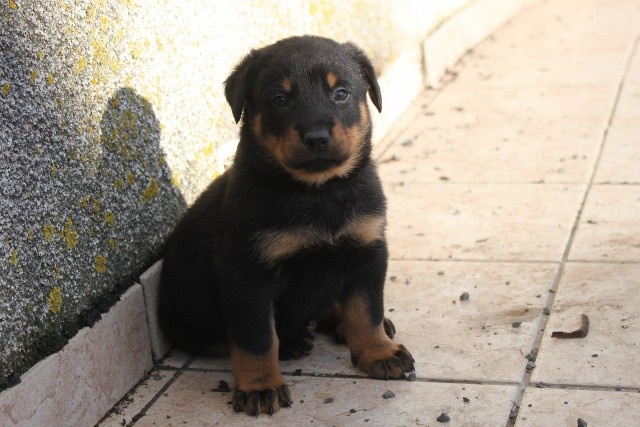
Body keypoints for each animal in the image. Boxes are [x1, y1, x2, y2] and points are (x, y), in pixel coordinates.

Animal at [158, 35, 414, 416]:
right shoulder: (246, 273)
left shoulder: (367, 249)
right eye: (280, 99)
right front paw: (260, 386)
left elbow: (366, 310)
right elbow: (257, 338)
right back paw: (293, 342)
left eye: (341, 93)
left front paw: (378, 351)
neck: (317, 192)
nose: (317, 137)